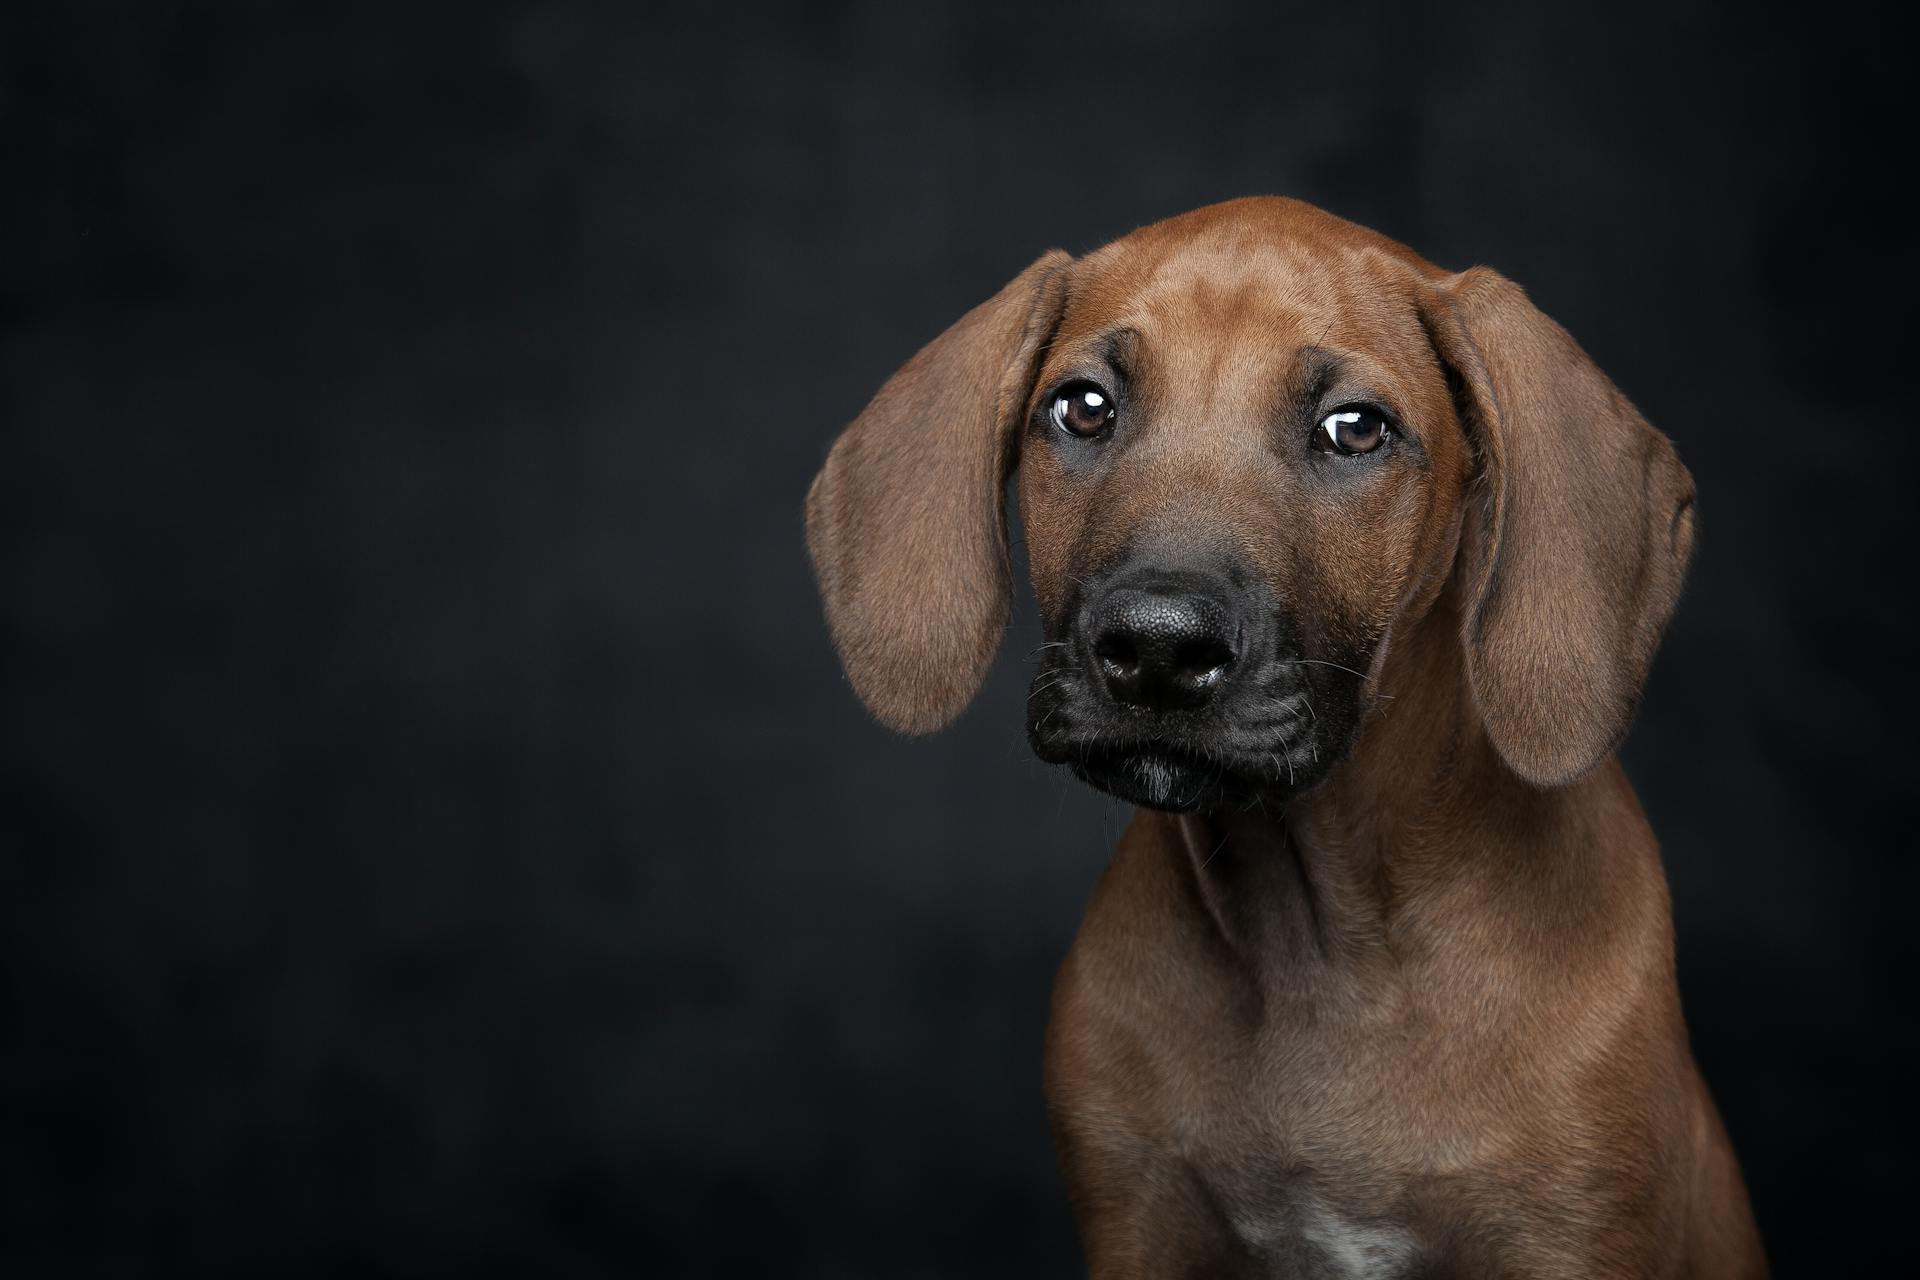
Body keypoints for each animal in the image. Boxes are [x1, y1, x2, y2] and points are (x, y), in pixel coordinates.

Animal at [802, 195, 1758, 1274]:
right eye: (1082, 408)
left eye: (1355, 428)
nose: (1156, 649)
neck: (1320, 945)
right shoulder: (1138, 1222)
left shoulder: (1570, 1235)